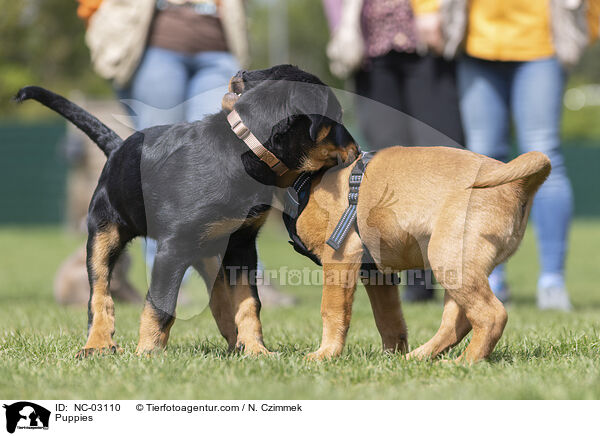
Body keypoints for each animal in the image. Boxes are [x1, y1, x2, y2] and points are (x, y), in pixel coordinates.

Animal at [16, 64, 358, 358]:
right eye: (338, 117)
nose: (356, 149)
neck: (246, 150)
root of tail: (116, 147)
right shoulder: (173, 248)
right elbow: (160, 305)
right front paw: (147, 353)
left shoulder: (243, 245)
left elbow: (248, 302)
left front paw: (257, 350)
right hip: (104, 231)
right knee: (99, 293)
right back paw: (98, 344)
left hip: (208, 252)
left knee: (220, 301)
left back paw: (236, 346)